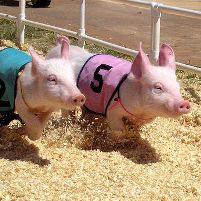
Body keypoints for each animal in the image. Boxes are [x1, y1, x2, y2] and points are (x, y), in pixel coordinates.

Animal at [46, 35, 190, 141]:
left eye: (178, 87)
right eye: (158, 87)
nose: (185, 103)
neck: (141, 112)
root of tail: (57, 47)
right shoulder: (113, 109)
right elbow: (118, 129)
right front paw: (120, 139)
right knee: (67, 113)